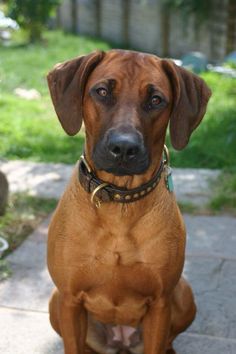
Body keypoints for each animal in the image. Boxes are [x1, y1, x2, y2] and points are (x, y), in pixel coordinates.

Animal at [47, 50, 211, 354]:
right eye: (102, 91)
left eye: (156, 99)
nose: (124, 147)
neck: (119, 203)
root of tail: (120, 343)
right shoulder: (69, 299)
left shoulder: (160, 302)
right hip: (55, 301)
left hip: (184, 294)